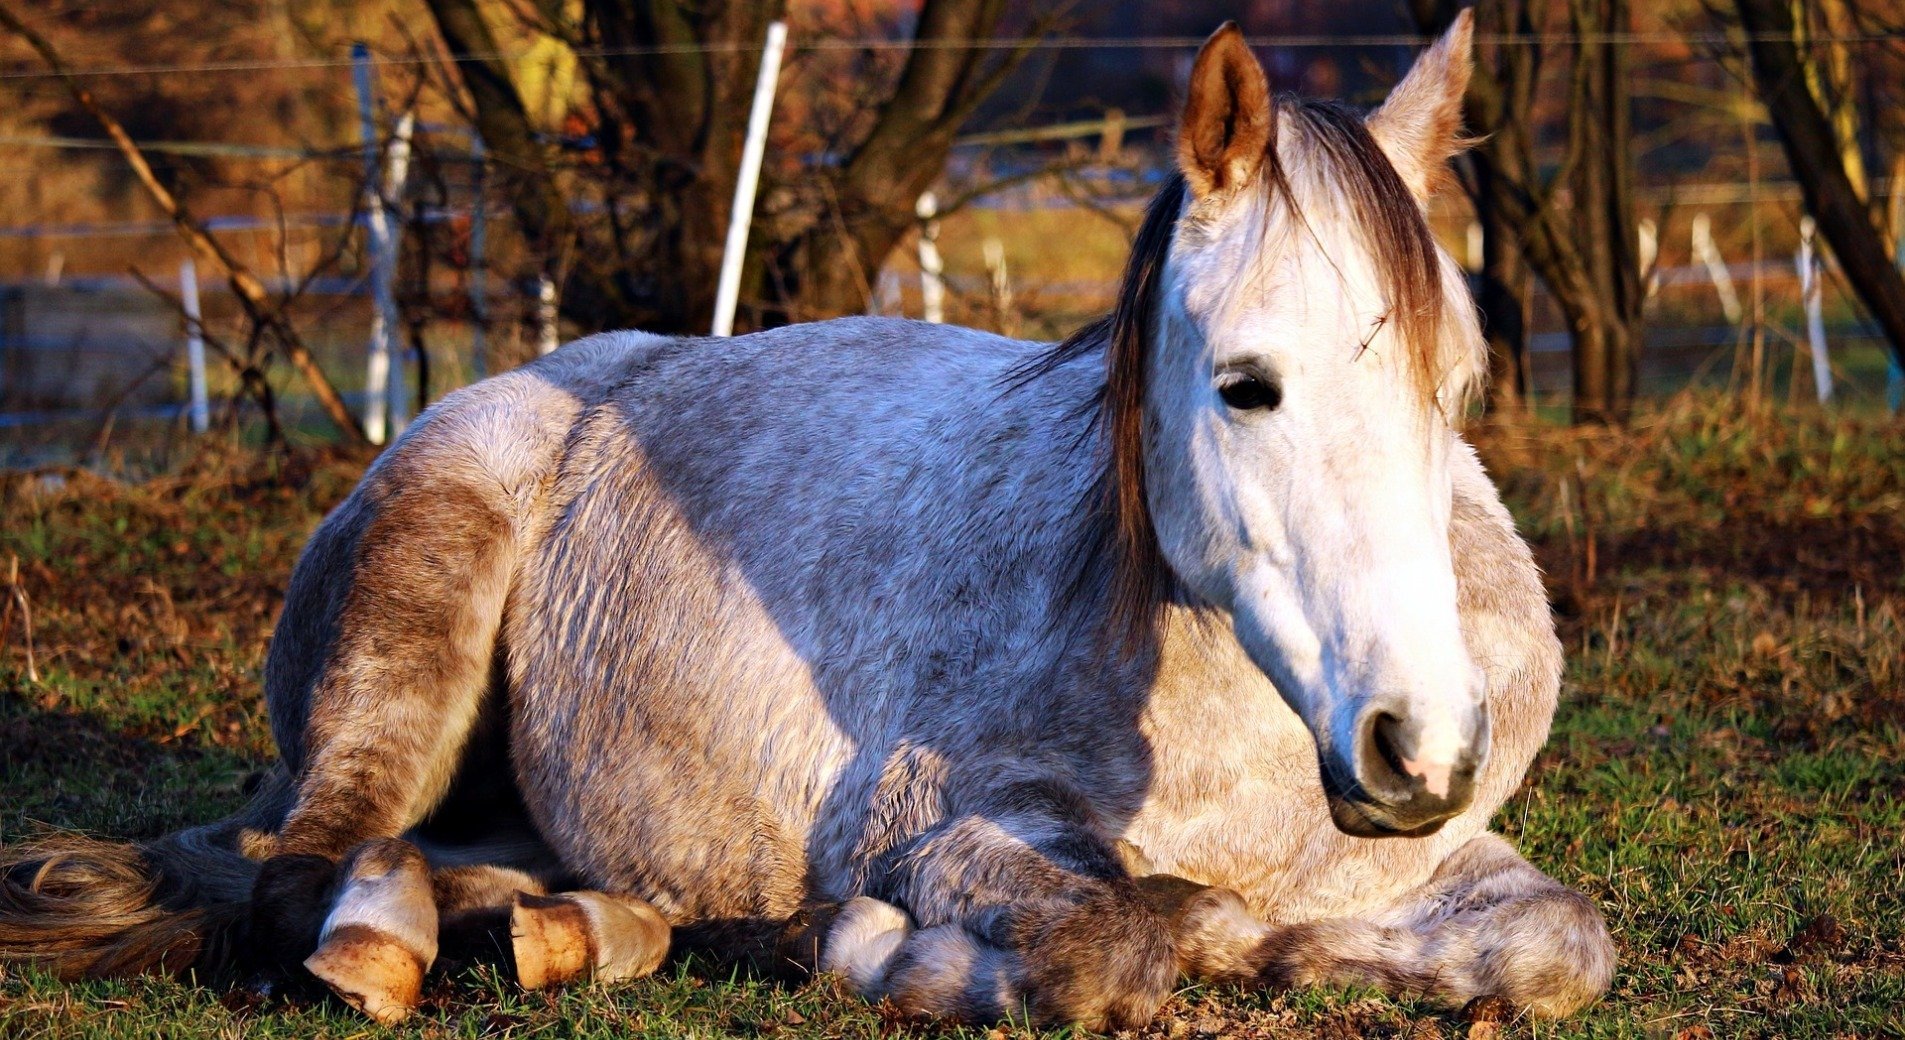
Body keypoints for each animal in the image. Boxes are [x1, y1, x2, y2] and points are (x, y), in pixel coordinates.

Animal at [0, 16, 1615, 1028]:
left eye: (1456, 388)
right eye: (1247, 385)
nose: (1418, 744)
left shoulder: (1435, 859)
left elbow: (1561, 946)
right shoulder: (930, 826)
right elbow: (1115, 937)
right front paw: (909, 950)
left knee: (484, 868)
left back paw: (568, 929)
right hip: (413, 625)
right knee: (305, 873)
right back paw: (395, 942)